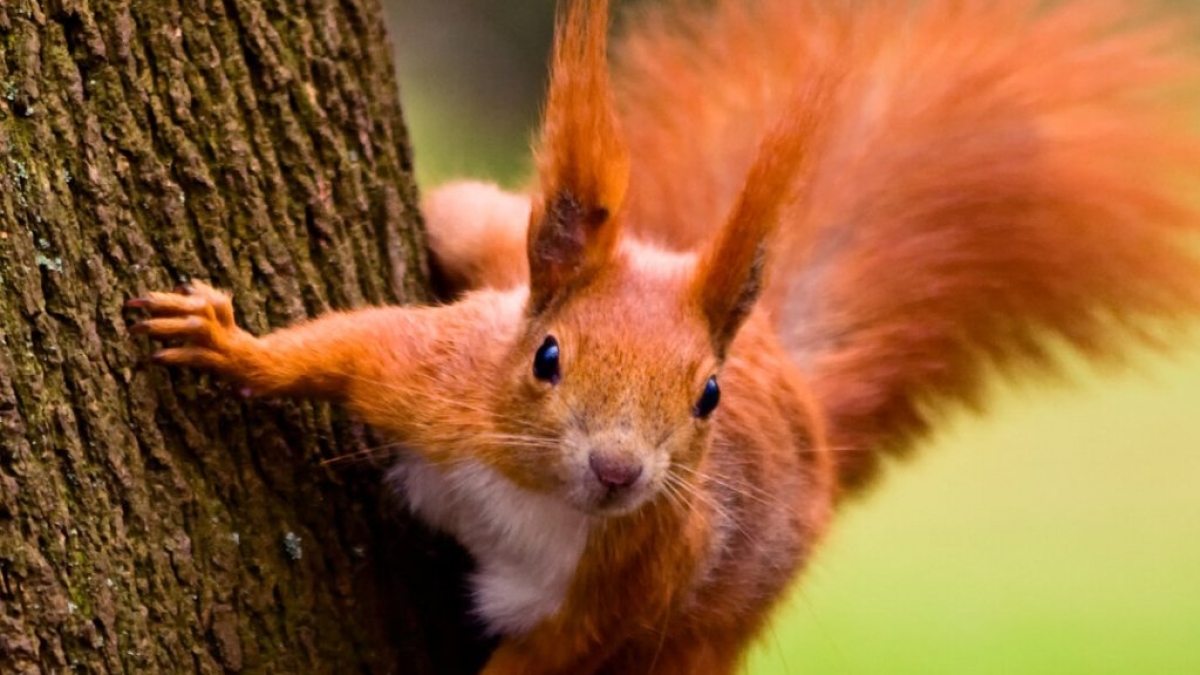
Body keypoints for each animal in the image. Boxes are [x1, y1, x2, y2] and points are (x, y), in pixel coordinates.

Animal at [129, 0, 1200, 667]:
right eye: (547, 358)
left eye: (707, 396)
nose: (618, 471)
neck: (536, 494)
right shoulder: (441, 380)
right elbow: (345, 350)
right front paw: (229, 343)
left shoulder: (626, 597)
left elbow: (543, 664)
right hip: (486, 231)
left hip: (711, 629)